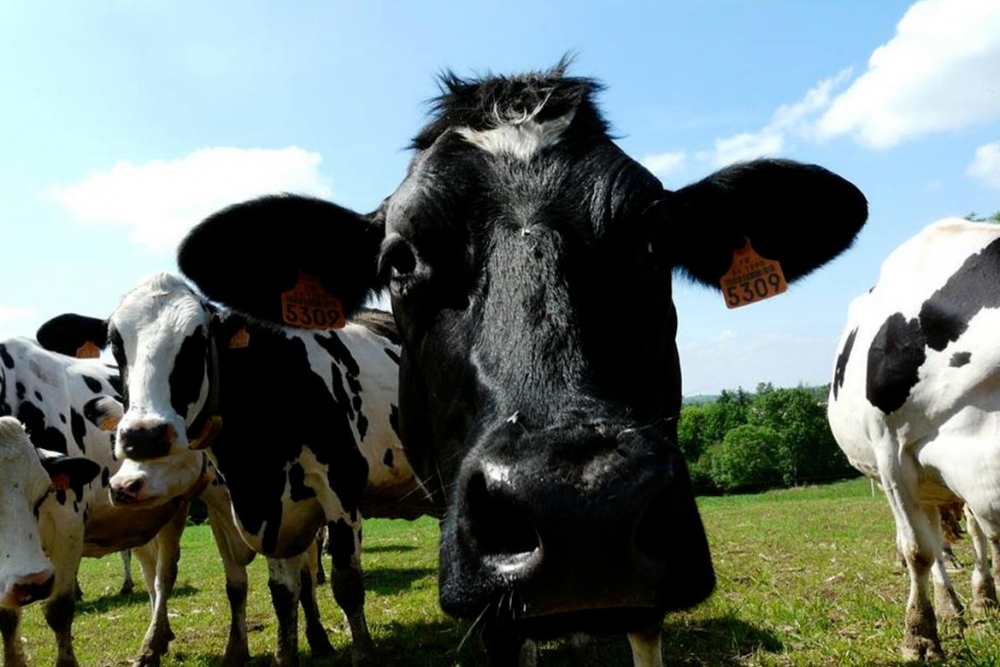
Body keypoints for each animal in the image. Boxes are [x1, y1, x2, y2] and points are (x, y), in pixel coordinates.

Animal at [0, 340, 270, 667]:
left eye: (42, 492)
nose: (31, 584)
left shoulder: (67, 524)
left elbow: (58, 611)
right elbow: (7, 618)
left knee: (178, 576)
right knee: (153, 574)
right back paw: (160, 636)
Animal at [40, 272, 434, 667]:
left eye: (199, 339)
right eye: (117, 345)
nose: (144, 436)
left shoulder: (339, 483)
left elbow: (347, 583)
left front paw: (364, 654)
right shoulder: (272, 509)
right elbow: (283, 593)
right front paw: (285, 656)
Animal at [824, 219, 1000, 664]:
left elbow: (984, 535)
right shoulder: (892, 455)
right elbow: (919, 550)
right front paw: (919, 636)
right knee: (932, 543)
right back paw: (949, 607)